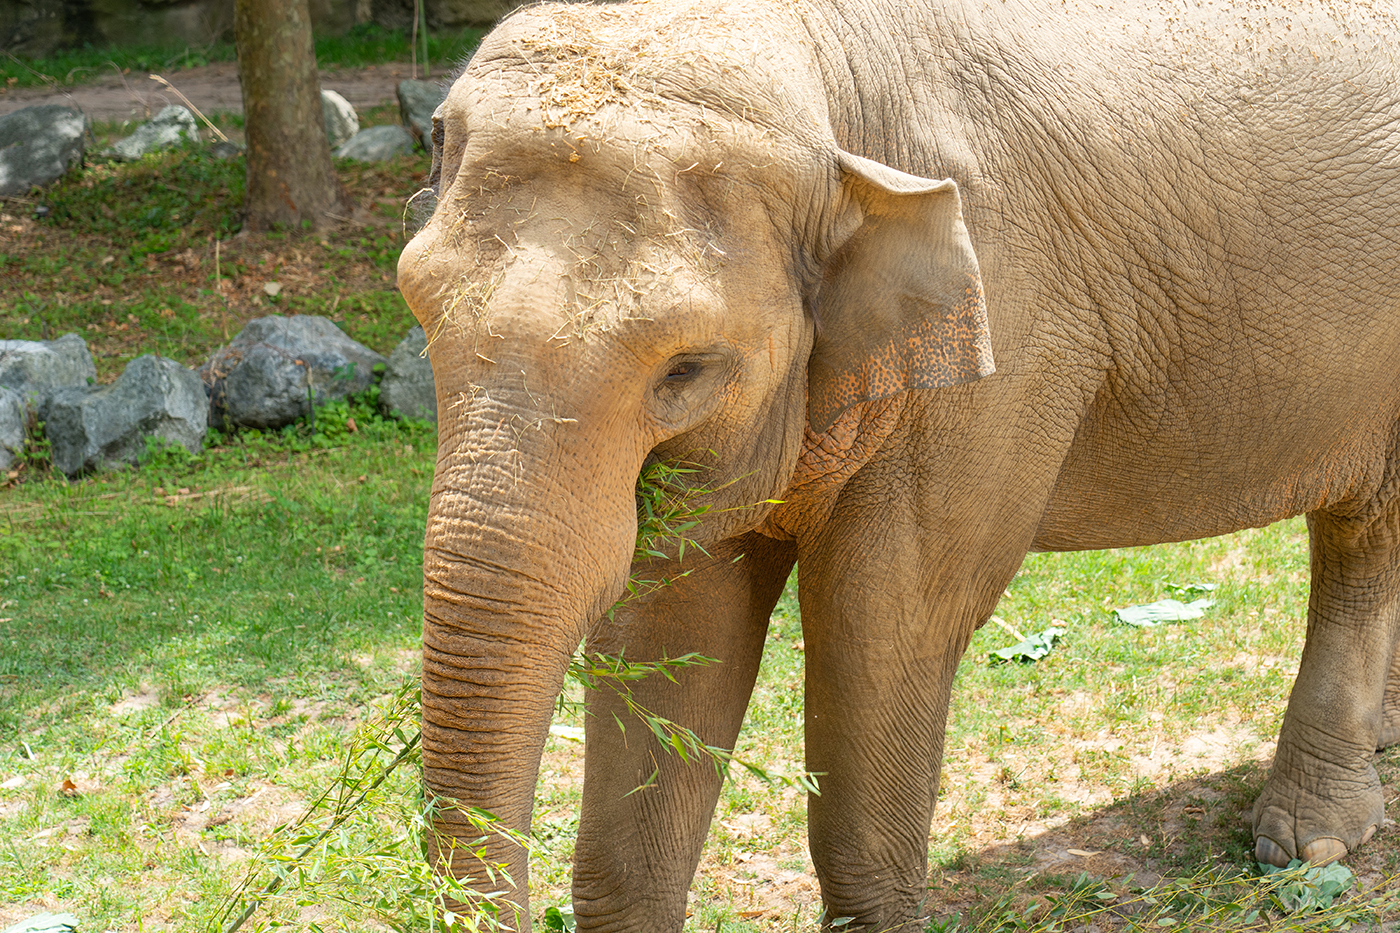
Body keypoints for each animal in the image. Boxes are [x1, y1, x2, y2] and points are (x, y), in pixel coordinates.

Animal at [397, 0, 1400, 924]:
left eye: (684, 369)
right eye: (416, 305)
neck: (825, 79)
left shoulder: (1005, 334)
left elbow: (884, 620)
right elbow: (676, 621)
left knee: (1363, 537)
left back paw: (1306, 842)